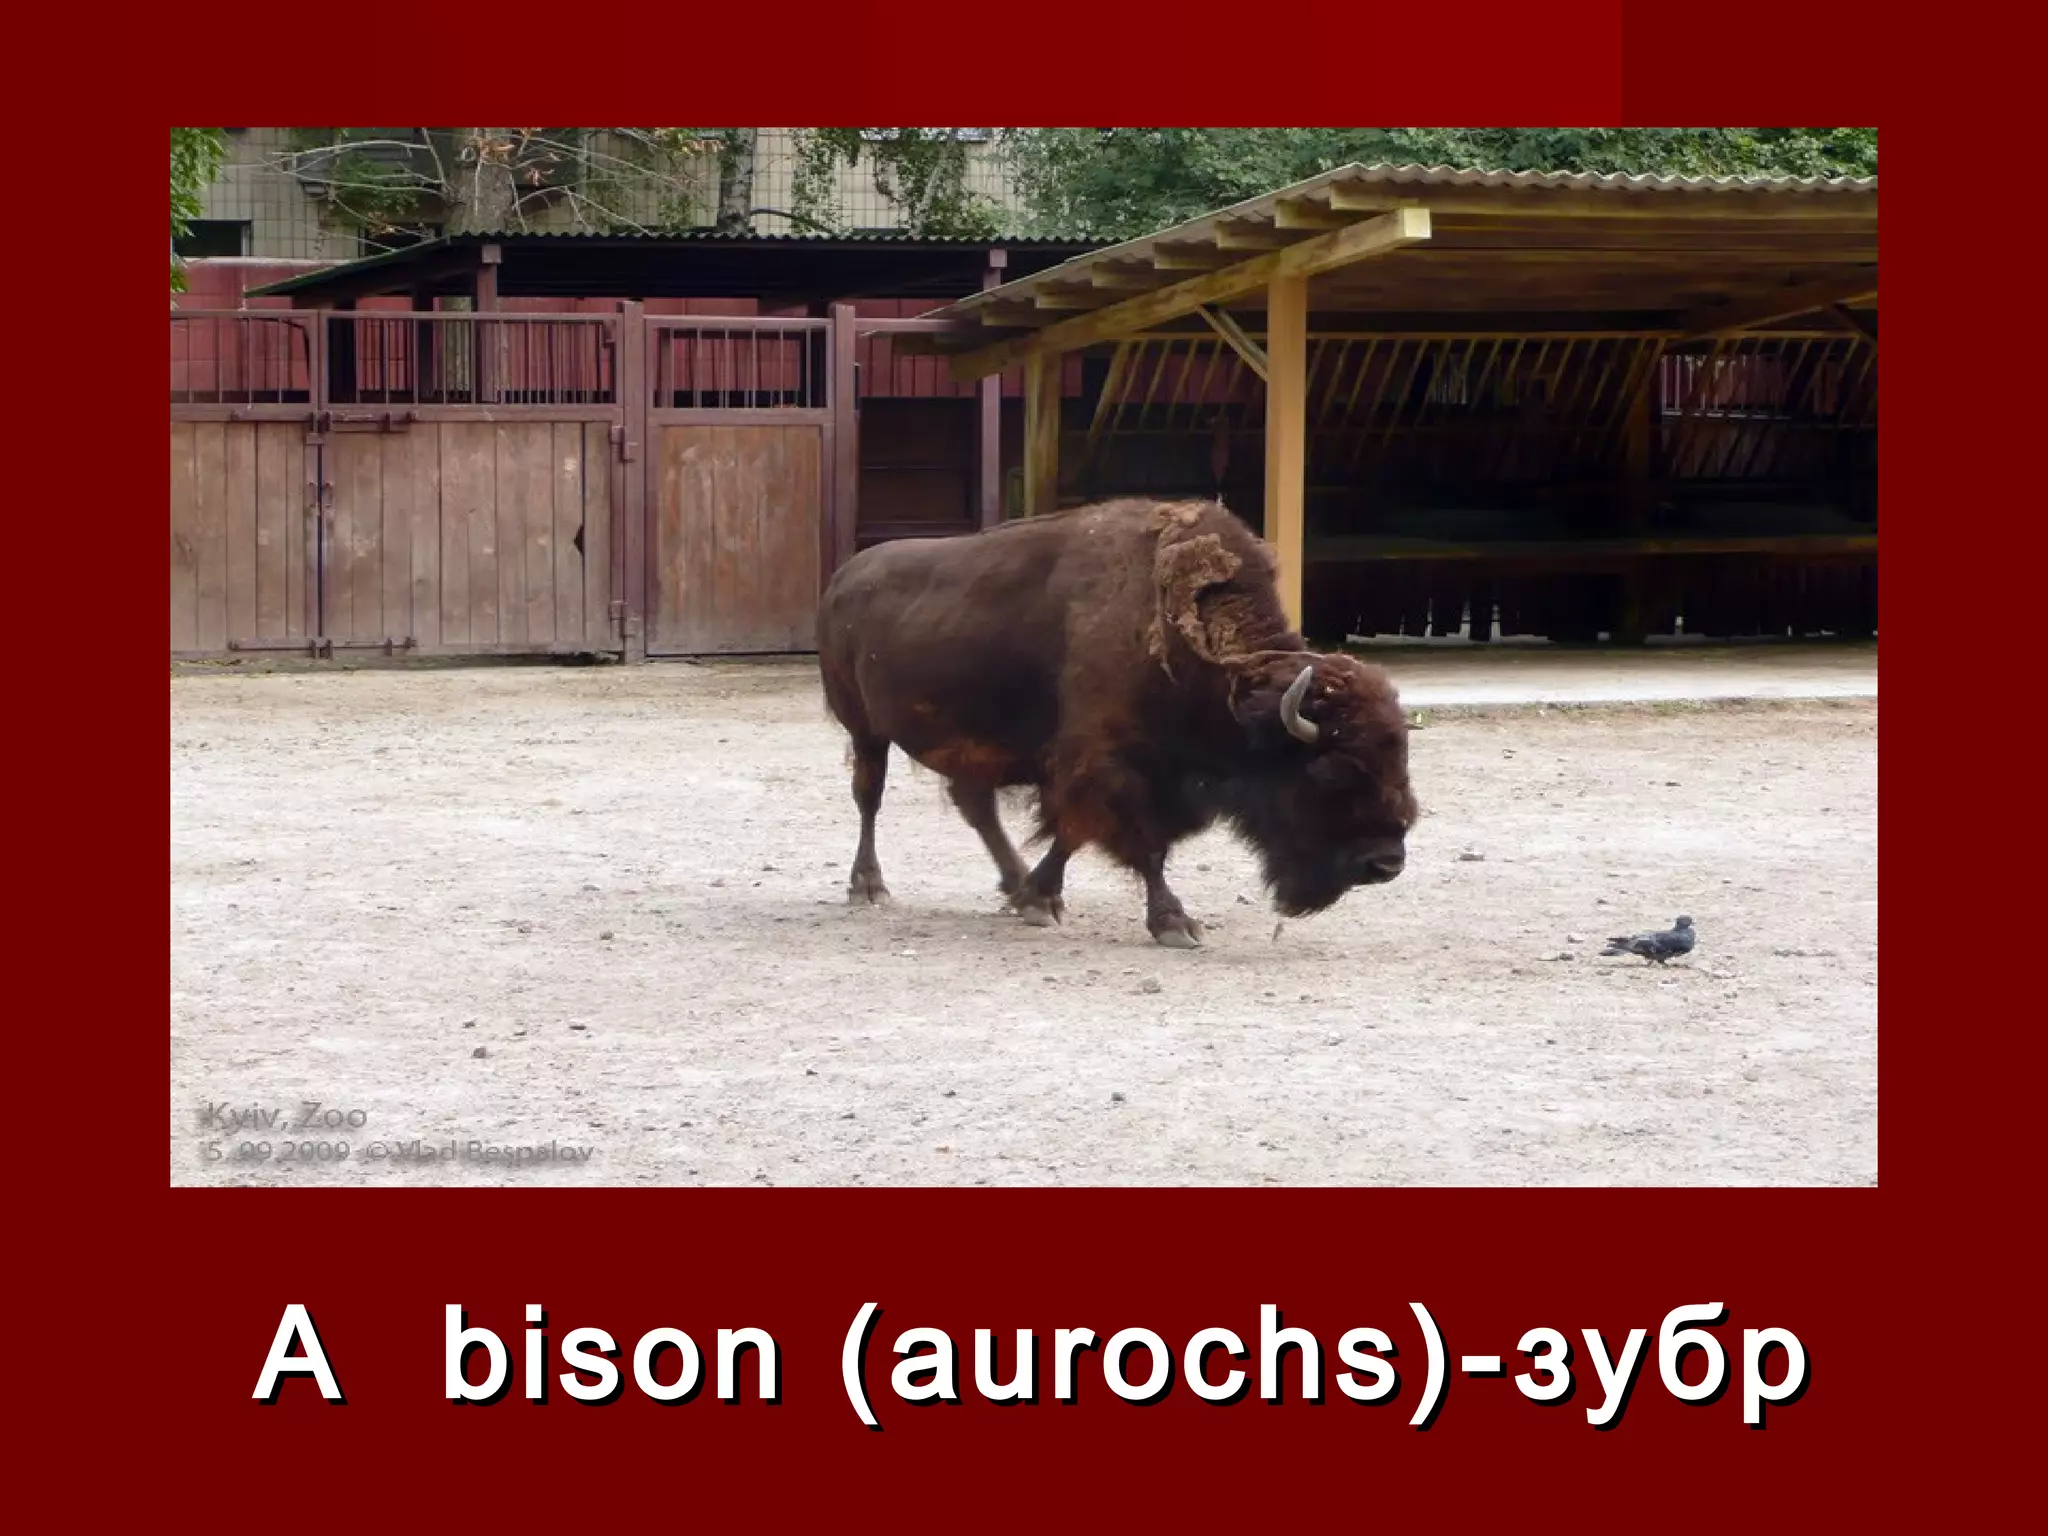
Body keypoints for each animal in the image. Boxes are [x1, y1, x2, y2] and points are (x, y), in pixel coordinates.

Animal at [816, 497, 1417, 947]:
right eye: (1331, 772)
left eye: (1400, 758)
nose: (1387, 864)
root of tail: (843, 578)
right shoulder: (1107, 766)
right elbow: (1134, 842)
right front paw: (1174, 923)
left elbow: (1078, 835)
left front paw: (1040, 898)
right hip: (865, 731)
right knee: (869, 798)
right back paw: (868, 888)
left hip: (967, 748)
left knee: (976, 808)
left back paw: (1012, 884)